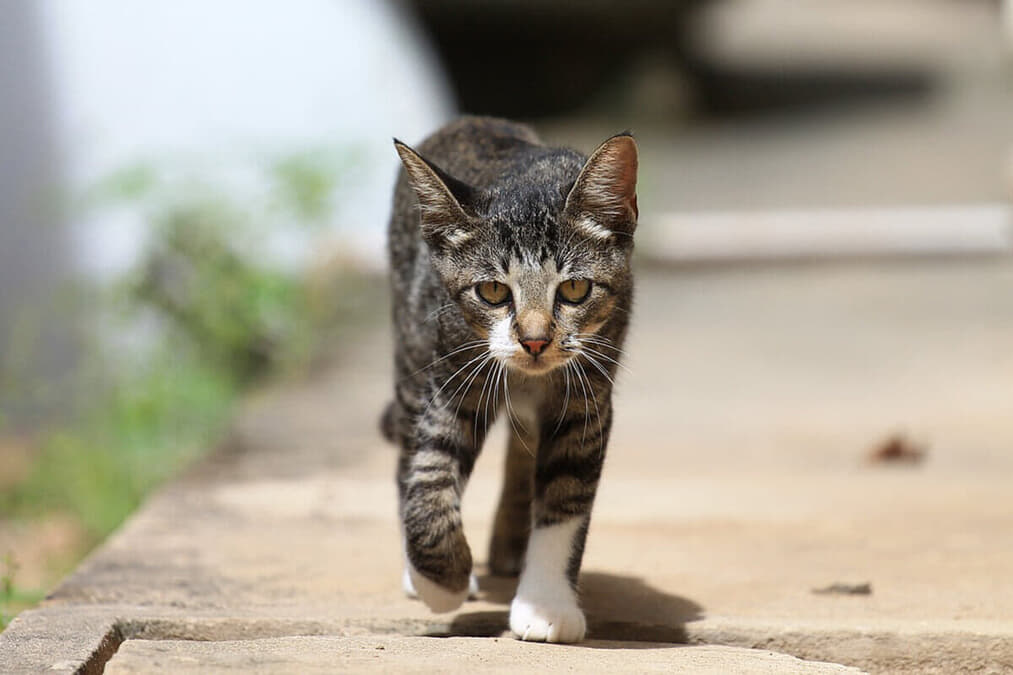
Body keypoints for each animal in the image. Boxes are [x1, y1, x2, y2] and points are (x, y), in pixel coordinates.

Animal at [382, 115, 636, 640]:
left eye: (575, 288)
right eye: (494, 292)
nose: (535, 340)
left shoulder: (587, 395)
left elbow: (566, 493)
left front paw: (546, 604)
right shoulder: (452, 374)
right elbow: (429, 470)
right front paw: (442, 581)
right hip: (410, 348)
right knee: (407, 455)